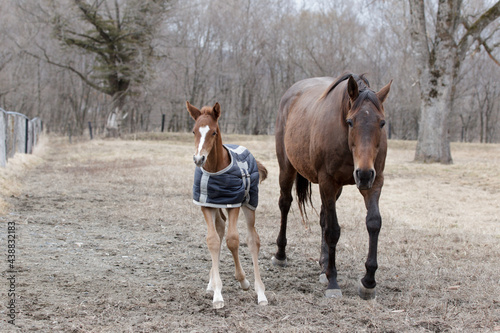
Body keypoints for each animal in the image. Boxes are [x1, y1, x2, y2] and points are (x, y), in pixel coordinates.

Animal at [186, 101, 268, 308]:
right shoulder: (206, 204)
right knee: (220, 229)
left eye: (214, 132)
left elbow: (233, 240)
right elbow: (213, 240)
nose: (199, 159)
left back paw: (260, 293)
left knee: (252, 239)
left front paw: (243, 280)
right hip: (217, 208)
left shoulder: (234, 204)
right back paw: (211, 283)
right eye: (194, 131)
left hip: (249, 206)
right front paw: (217, 294)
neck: (215, 169)